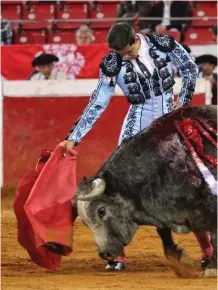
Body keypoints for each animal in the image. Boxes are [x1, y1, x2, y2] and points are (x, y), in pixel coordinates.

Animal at [75, 105, 216, 278]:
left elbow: (214, 235)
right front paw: (177, 259)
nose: (105, 254)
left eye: (101, 211)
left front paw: (211, 268)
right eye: (84, 222)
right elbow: (163, 231)